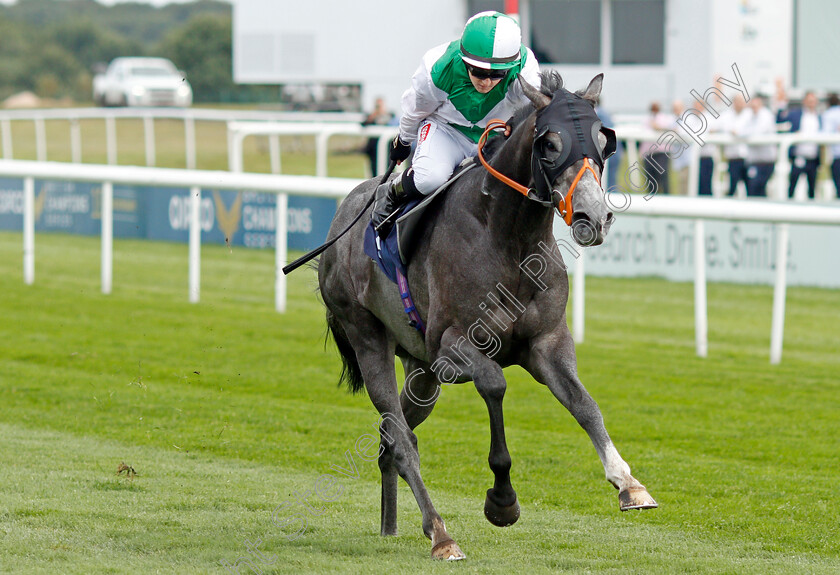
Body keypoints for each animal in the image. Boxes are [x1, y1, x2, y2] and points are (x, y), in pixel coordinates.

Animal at [316, 73, 656, 564]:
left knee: (392, 436)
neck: (509, 239)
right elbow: (495, 383)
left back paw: (390, 525)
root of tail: (342, 217)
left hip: (421, 373)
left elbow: (585, 405)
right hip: (367, 336)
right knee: (400, 439)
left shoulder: (547, 343)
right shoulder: (452, 348)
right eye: (549, 144)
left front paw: (629, 483)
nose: (595, 216)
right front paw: (502, 501)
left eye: (603, 141)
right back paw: (440, 533)